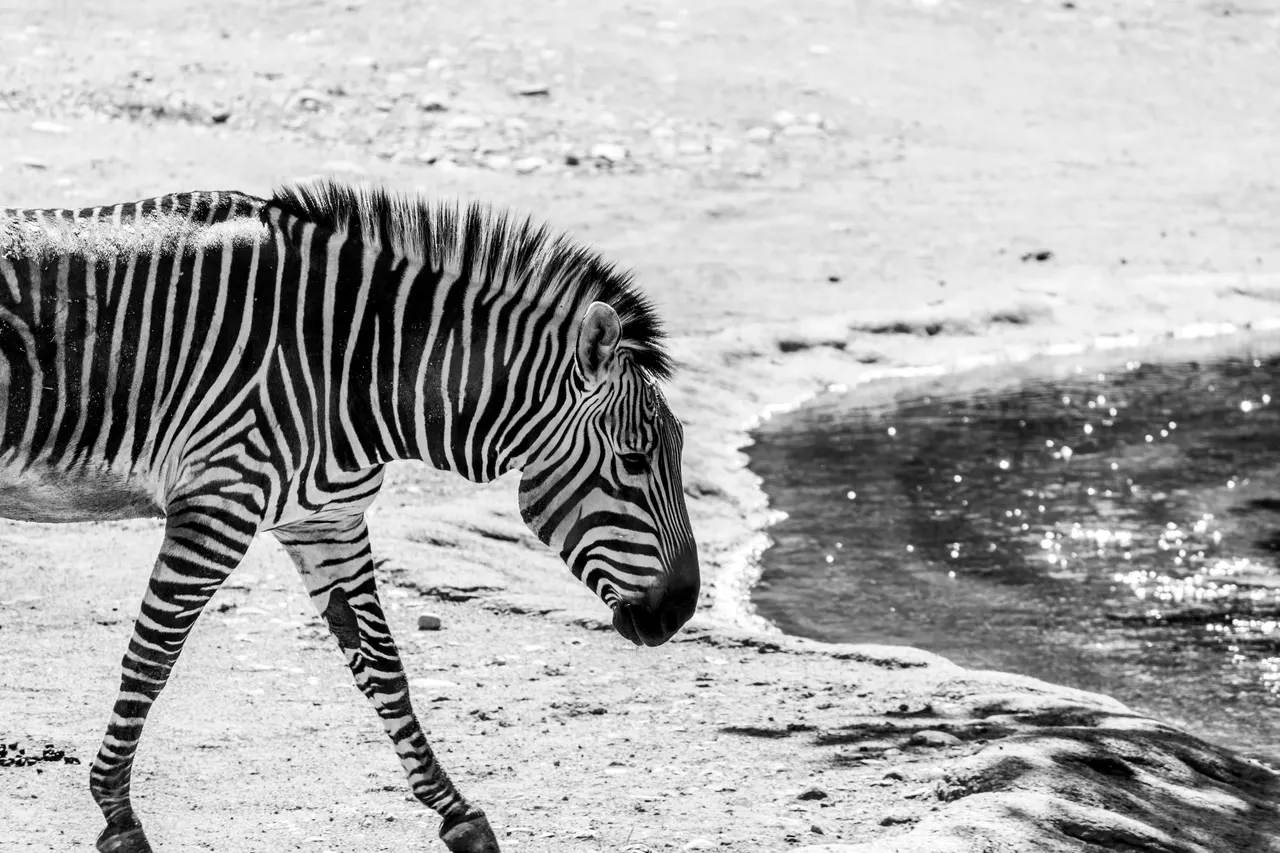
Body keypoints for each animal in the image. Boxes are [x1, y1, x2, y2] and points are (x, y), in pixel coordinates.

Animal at [0, 180, 700, 853]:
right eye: (635, 461)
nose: (680, 612)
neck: (347, 365)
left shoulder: (325, 520)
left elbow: (385, 669)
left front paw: (460, 817)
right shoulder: (220, 501)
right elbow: (151, 661)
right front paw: (118, 817)